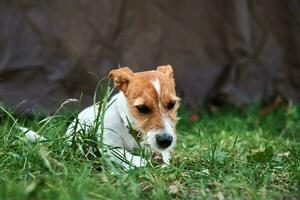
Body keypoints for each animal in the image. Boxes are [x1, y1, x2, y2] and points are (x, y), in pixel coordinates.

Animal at [22, 65, 180, 170]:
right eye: (142, 108)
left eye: (171, 104)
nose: (166, 141)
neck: (130, 130)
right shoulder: (107, 146)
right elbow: (125, 155)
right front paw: (142, 163)